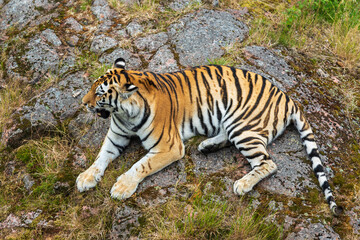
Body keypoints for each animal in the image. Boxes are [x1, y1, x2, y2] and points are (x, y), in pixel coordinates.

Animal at [76, 57, 344, 216]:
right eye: (92, 87)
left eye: (100, 94)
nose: (83, 103)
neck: (124, 114)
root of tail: (287, 97)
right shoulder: (116, 136)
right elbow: (101, 157)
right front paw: (87, 177)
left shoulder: (169, 146)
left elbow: (141, 165)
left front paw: (122, 186)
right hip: (233, 123)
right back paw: (206, 146)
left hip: (241, 125)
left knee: (268, 163)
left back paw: (242, 184)